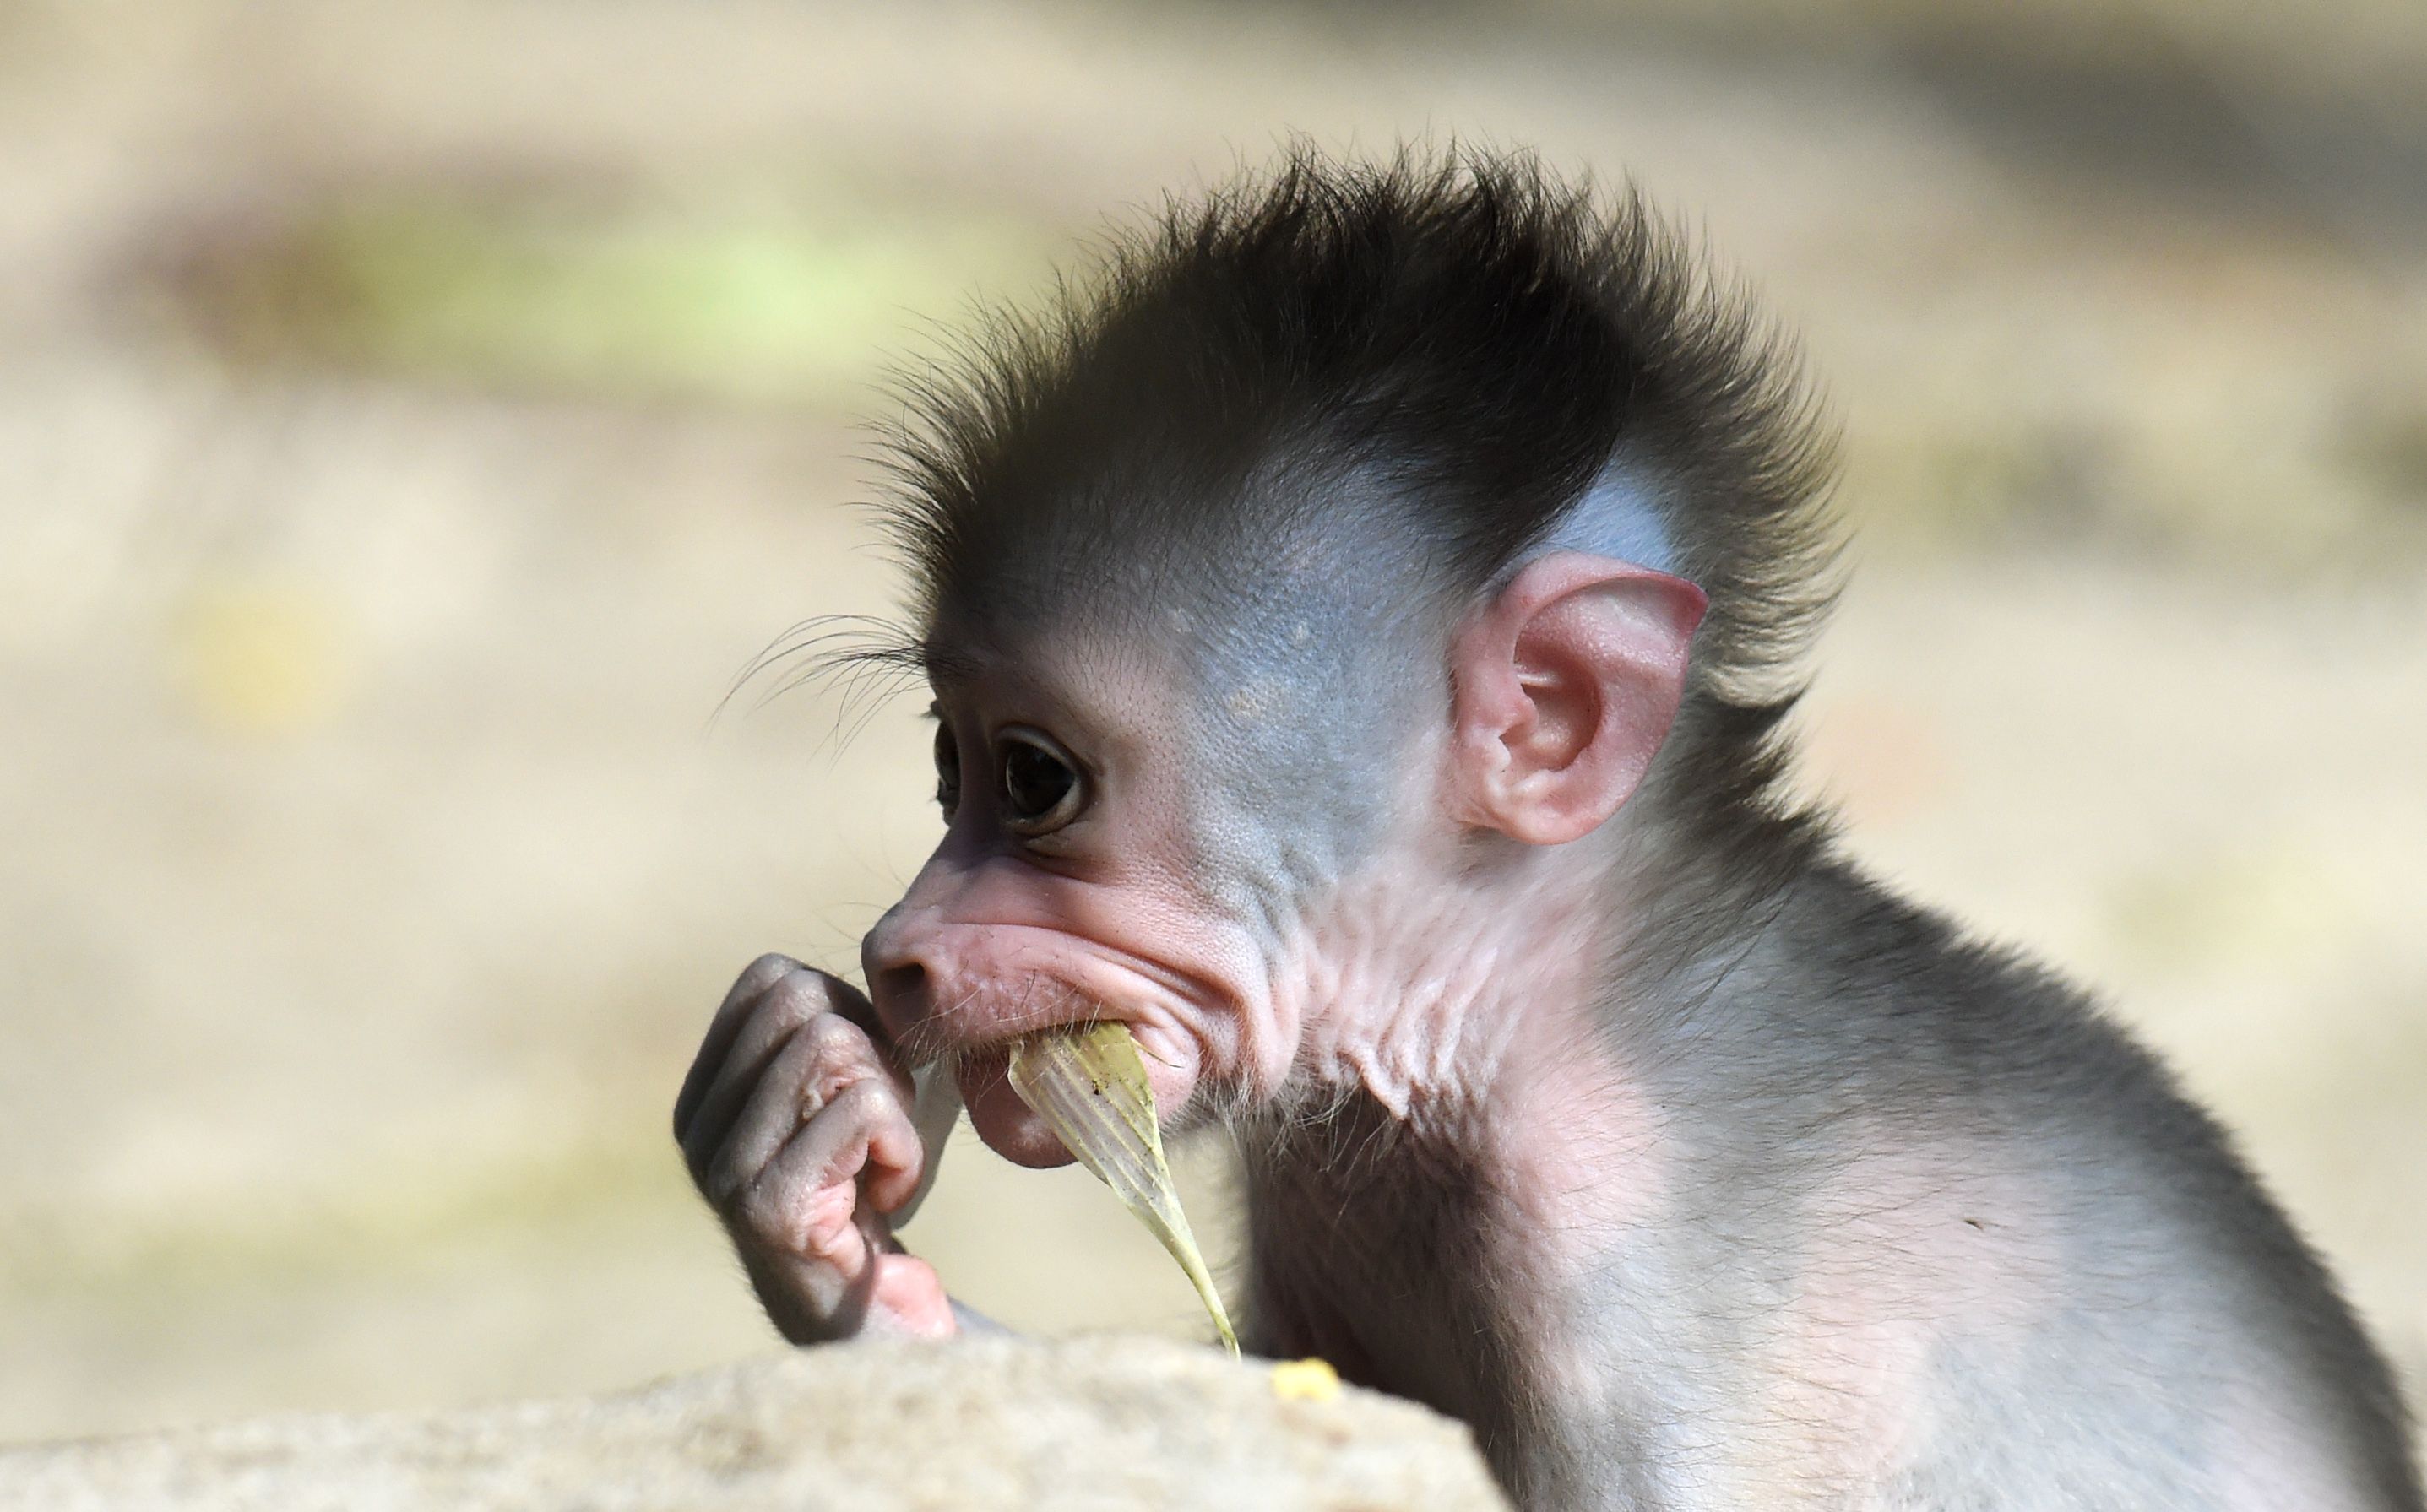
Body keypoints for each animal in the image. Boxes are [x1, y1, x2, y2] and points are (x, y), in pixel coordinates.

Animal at [674, 154, 2417, 1512]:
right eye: (945, 762)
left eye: (1034, 781)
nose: (896, 952)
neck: (1511, 1020)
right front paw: (816, 1189)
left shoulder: (1620, 1268)